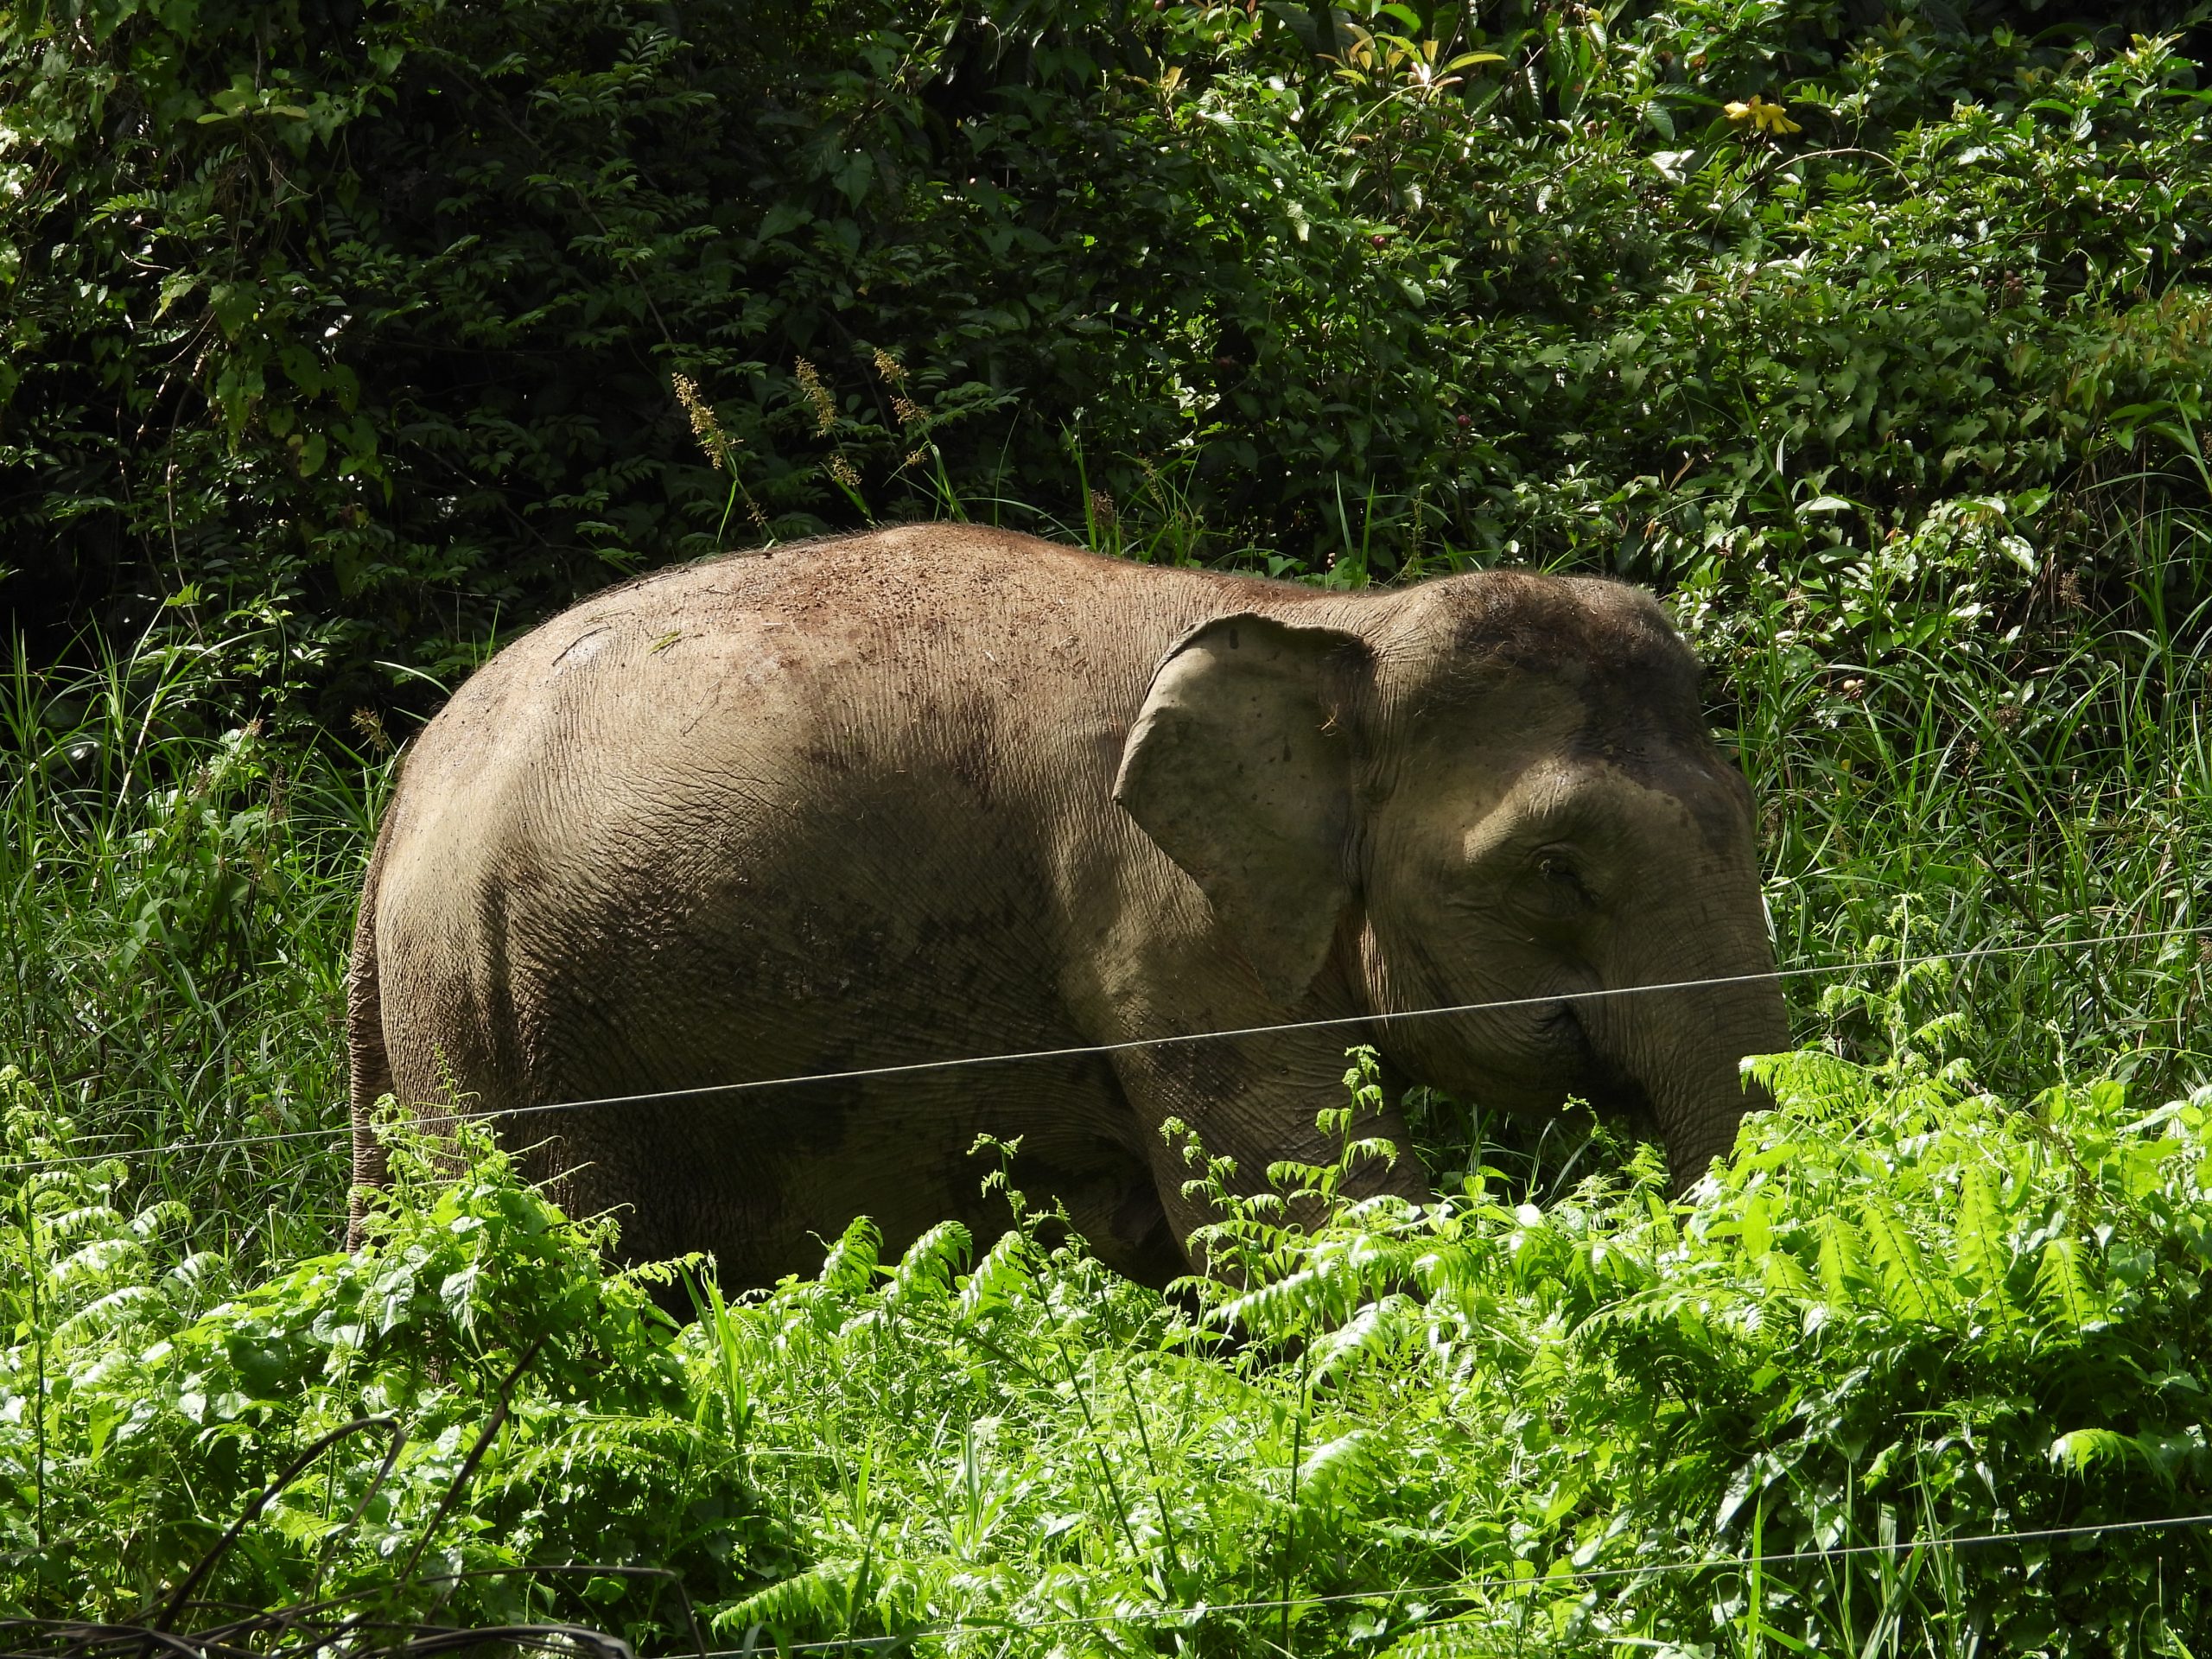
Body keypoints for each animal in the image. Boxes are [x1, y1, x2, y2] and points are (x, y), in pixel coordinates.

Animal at [346, 525, 1788, 1287]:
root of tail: (397, 805)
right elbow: (1308, 1218)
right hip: (496, 1038)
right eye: (1555, 867)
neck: (1338, 624)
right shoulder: (1160, 918)